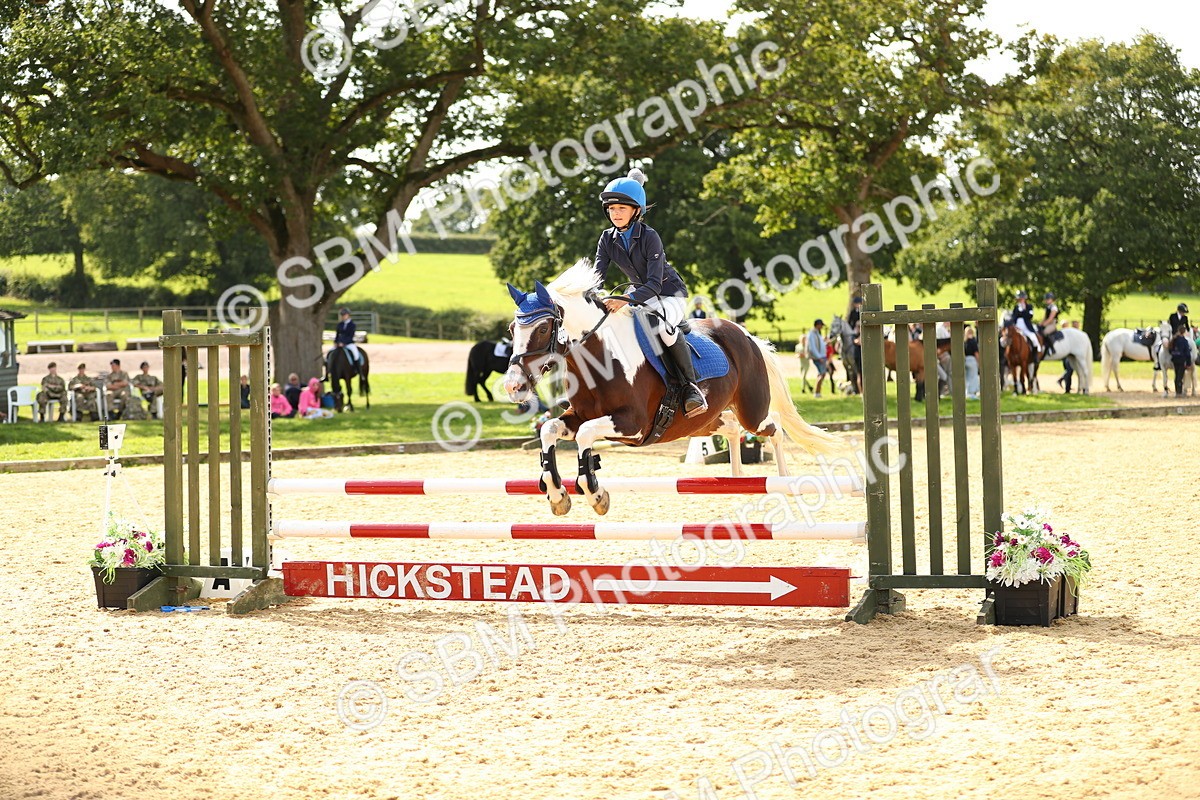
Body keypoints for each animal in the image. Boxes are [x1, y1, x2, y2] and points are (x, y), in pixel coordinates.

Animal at [502, 260, 841, 516]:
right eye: (512, 329)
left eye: (542, 329)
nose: (514, 385)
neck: (600, 355)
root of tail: (746, 336)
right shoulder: (579, 415)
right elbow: (549, 431)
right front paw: (557, 495)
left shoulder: (632, 423)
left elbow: (586, 436)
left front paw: (596, 495)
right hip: (703, 421)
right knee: (732, 428)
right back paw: (736, 478)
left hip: (751, 412)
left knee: (775, 427)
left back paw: (784, 482)